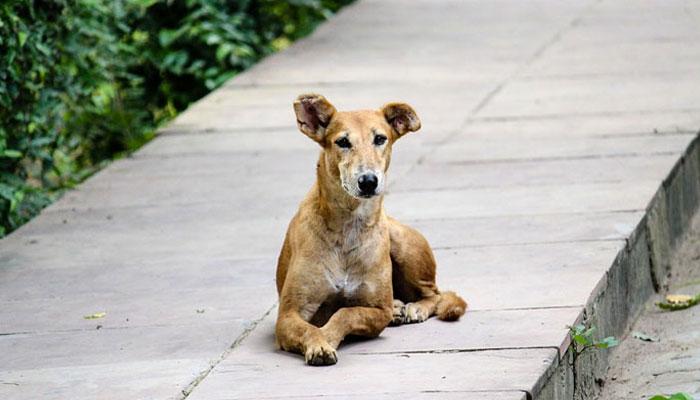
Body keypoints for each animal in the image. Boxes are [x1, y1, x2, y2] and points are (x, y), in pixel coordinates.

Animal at [276, 94, 468, 366]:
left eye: (380, 139)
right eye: (342, 142)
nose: (368, 181)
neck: (348, 226)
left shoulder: (378, 310)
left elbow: (346, 312)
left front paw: (328, 335)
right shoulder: (288, 314)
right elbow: (309, 328)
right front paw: (319, 342)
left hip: (401, 242)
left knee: (435, 294)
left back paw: (414, 308)